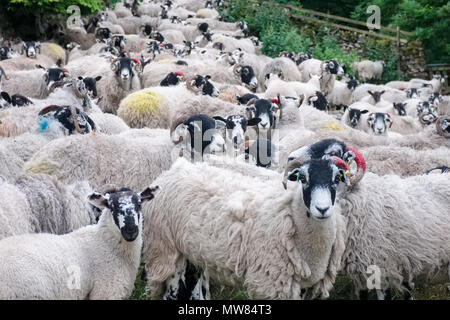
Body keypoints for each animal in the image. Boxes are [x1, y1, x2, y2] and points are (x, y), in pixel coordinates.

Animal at [142, 157, 346, 300]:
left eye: (337, 179)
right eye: (302, 178)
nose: (322, 209)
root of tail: (173, 169)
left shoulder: (304, 286)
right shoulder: (269, 284)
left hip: (193, 255)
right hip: (166, 249)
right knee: (171, 292)